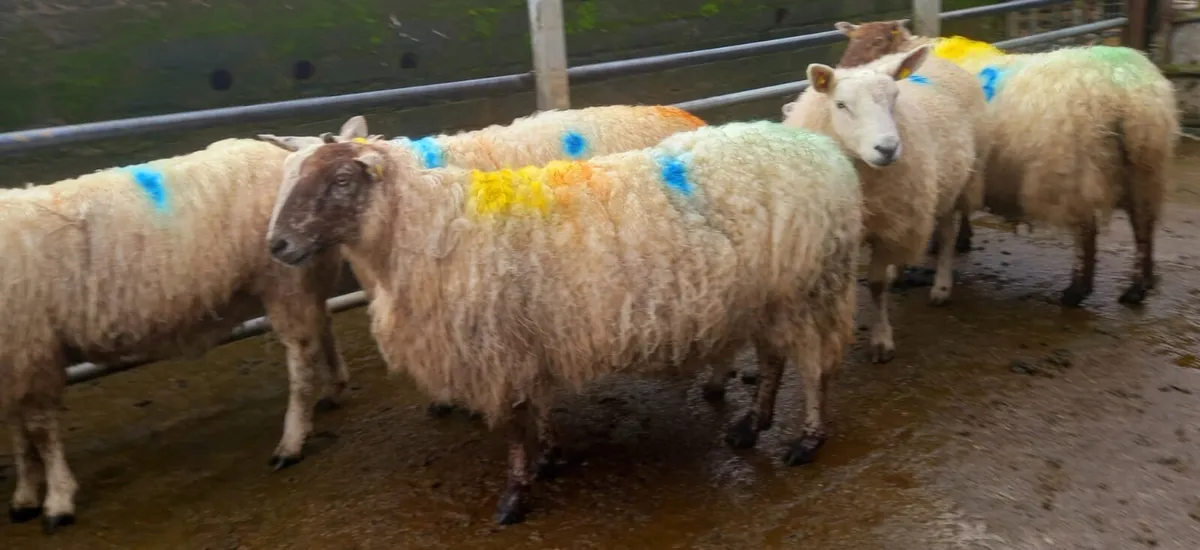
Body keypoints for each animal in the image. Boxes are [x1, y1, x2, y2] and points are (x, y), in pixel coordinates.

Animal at [1, 130, 353, 533]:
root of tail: (309, 148)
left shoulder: (30, 348)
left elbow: (40, 432)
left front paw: (57, 501)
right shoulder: (13, 360)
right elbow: (18, 431)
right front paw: (25, 496)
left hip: (285, 279)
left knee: (301, 355)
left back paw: (291, 441)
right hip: (307, 276)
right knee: (323, 323)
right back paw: (333, 389)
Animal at [779, 44, 989, 364]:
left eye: (894, 98)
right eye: (841, 104)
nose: (888, 148)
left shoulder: (887, 224)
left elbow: (877, 285)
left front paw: (881, 340)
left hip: (958, 182)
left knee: (946, 235)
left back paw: (941, 286)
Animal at [835, 25, 1181, 306]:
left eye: (877, 41)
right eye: (851, 39)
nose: (840, 73)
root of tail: (1130, 95)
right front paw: (961, 240)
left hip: (1075, 172)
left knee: (1087, 232)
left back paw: (1076, 291)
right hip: (1145, 169)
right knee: (1144, 226)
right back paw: (1138, 288)